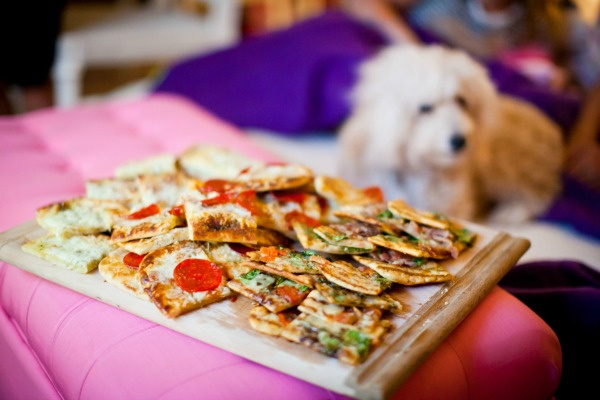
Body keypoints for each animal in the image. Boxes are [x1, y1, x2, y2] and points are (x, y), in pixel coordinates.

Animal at [340, 45, 564, 223]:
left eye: (461, 100)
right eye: (425, 107)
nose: (460, 140)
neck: (423, 170)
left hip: (509, 168)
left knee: (538, 194)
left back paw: (510, 212)